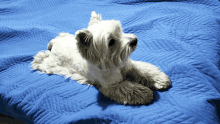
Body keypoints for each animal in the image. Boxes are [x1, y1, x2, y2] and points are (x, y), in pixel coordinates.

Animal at [31, 11, 171, 104]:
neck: (114, 63)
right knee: (42, 58)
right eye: (111, 42)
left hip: (66, 36)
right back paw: (37, 61)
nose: (134, 40)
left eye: (120, 30)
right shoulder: (111, 86)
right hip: (51, 63)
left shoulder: (129, 66)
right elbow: (129, 88)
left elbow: (145, 70)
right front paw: (145, 93)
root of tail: (55, 44)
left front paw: (160, 79)